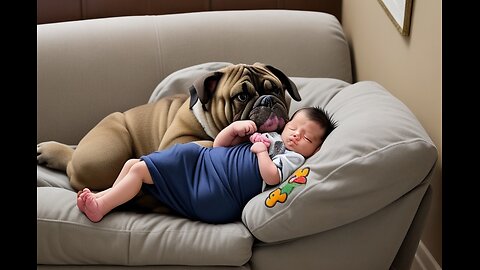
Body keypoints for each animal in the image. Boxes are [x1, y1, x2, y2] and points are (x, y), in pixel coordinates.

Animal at [38, 62, 300, 193]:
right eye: (241, 97)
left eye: (277, 89)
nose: (267, 100)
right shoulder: (176, 140)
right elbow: (210, 142)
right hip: (104, 155)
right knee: (74, 166)